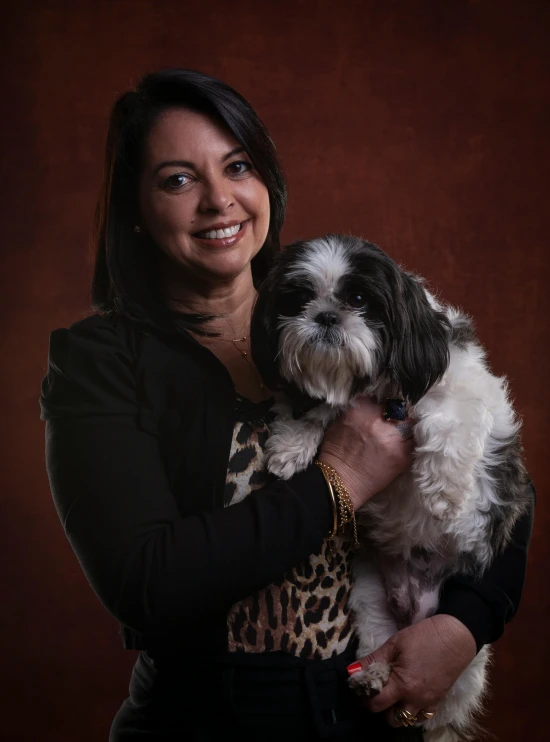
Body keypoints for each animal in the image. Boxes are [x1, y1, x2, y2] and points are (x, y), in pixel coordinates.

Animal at [252, 235, 532, 740]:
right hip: (372, 603)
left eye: (360, 299)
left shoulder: (461, 388)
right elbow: (316, 410)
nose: (327, 315)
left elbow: (445, 418)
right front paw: (293, 445)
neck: (371, 387)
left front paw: (443, 491)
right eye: (299, 299)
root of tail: (416, 606)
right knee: (384, 646)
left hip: (463, 658)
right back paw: (374, 676)